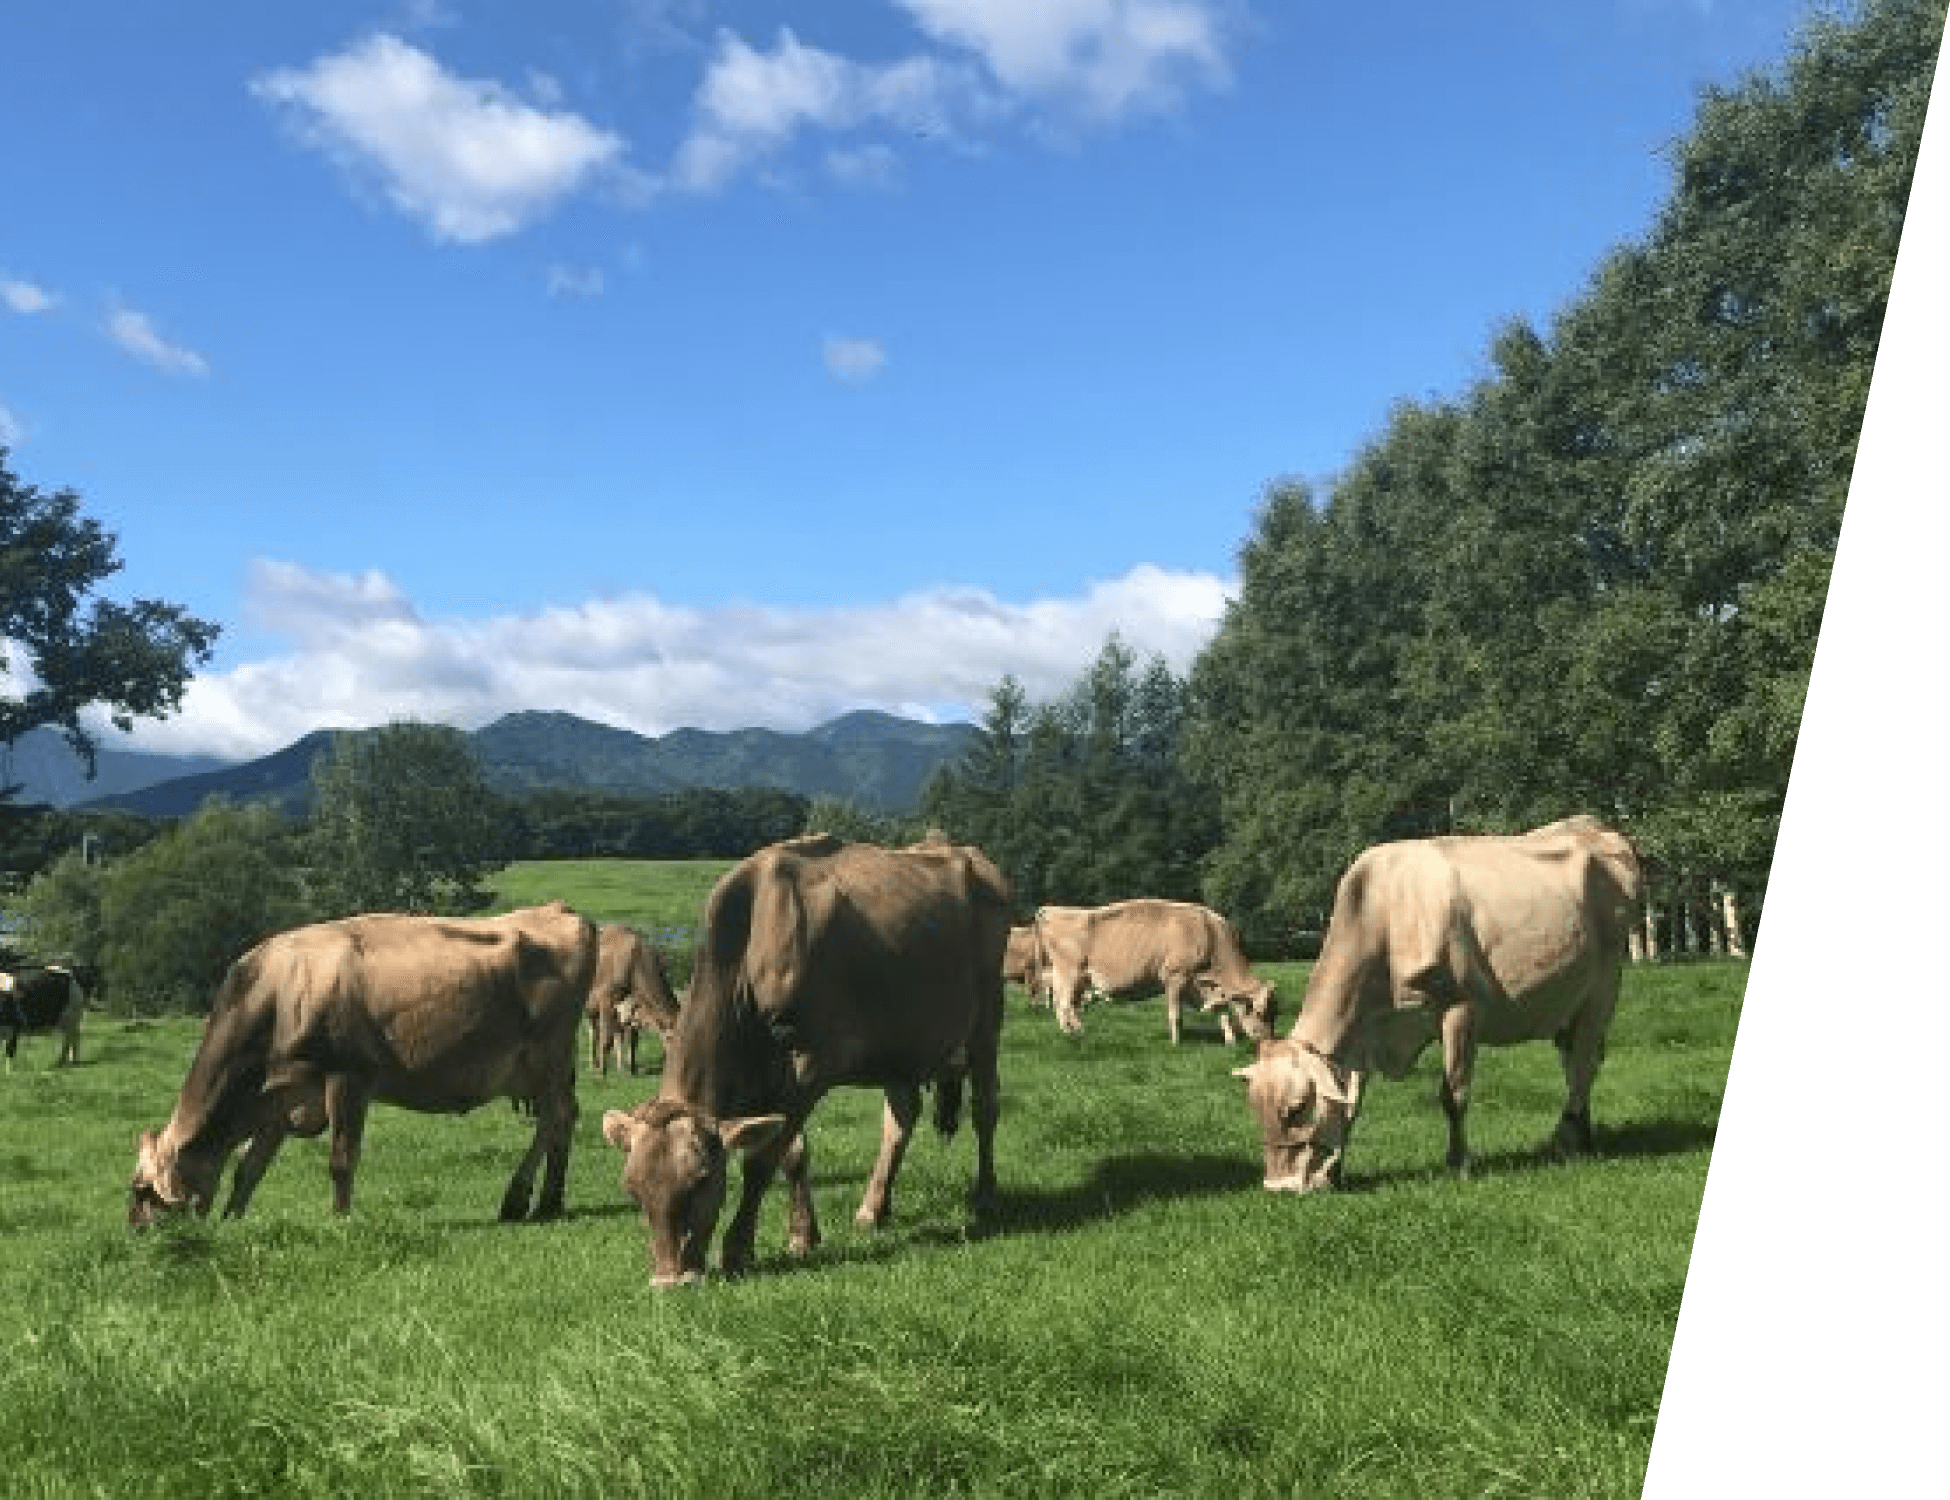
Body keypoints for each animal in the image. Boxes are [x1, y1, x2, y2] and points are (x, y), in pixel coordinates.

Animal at [126, 901, 596, 1232]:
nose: (135, 1234)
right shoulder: (278, 1101)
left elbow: (340, 1158)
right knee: (563, 1119)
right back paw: (550, 1201)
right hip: (545, 1068)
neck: (276, 996)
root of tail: (559, 911)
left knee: (554, 1118)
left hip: (548, 1055)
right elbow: (248, 1169)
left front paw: (339, 1220)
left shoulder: (349, 1077)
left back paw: (519, 1199)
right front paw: (231, 1222)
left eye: (143, 1191)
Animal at [585, 924, 686, 1076]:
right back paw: (593, 1065)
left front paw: (631, 1069)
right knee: (593, 1033)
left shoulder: (633, 1008)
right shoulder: (606, 999)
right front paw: (601, 1072)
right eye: (671, 1038)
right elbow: (606, 1039)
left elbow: (633, 1040)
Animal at [600, 830, 1014, 1287]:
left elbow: (762, 1160)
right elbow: (792, 1152)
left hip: (987, 1017)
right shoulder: (772, 1077)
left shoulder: (811, 1064)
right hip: (898, 1041)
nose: (670, 1282)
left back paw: (987, 1197)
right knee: (900, 1120)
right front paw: (803, 1235)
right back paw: (874, 1208)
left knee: (985, 1108)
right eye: (633, 1190)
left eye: (701, 1181)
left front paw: (738, 1248)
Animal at [1029, 901, 1287, 1045]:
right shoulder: (1175, 977)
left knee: (1069, 1006)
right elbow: (1175, 1014)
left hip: (1078, 979)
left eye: (1276, 1013)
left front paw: (1230, 1041)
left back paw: (1074, 1032)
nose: (1269, 1042)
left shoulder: (1207, 987)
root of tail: (1052, 910)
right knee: (1063, 1005)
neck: (1210, 933)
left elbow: (1221, 1012)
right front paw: (1176, 1042)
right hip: (1068, 974)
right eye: (1261, 1013)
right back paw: (1077, 1034)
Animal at [1232, 819, 1645, 1193]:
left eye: (1296, 1107)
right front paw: (1336, 1172)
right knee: (1575, 1060)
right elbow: (1351, 1102)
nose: (1279, 1187)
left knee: (1583, 1063)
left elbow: (1453, 1094)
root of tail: (1592, 826)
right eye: (1254, 1111)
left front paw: (1459, 1162)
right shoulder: (1364, 1031)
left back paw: (1569, 1139)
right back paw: (1582, 1135)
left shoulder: (1461, 1008)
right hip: (1567, 1002)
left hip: (1605, 984)